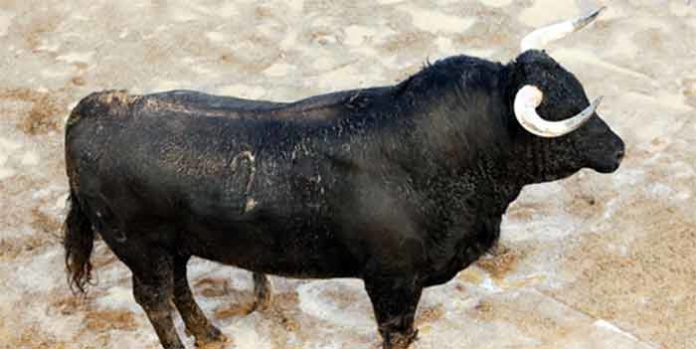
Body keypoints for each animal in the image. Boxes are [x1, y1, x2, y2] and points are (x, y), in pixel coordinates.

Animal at [61, 50, 624, 346]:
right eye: (563, 110)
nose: (619, 149)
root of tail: (91, 107)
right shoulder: (392, 282)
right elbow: (398, 334)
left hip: (172, 244)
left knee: (178, 287)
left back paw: (212, 334)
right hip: (138, 246)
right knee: (154, 300)